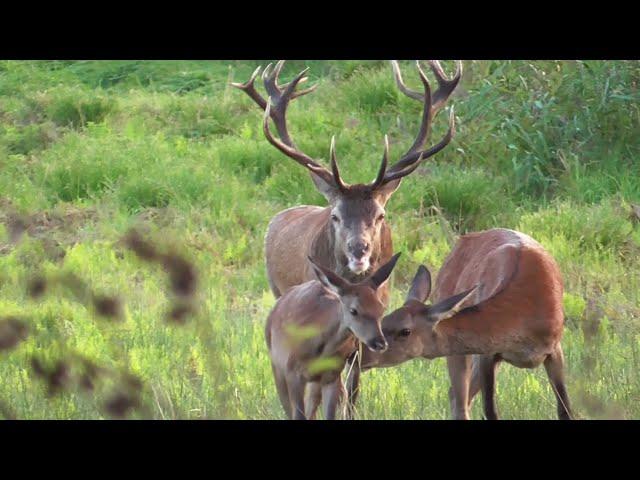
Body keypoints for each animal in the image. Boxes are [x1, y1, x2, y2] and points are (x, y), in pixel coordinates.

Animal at [264, 253, 400, 418]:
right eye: (353, 310)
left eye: (381, 309)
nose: (380, 343)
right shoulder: (292, 372)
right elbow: (298, 414)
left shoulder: (331, 375)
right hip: (277, 366)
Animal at [358, 229, 572, 420]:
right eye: (384, 320)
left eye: (405, 331)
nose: (361, 357)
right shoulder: (488, 353)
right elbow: (490, 411)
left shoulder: (554, 349)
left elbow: (565, 410)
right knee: (457, 397)